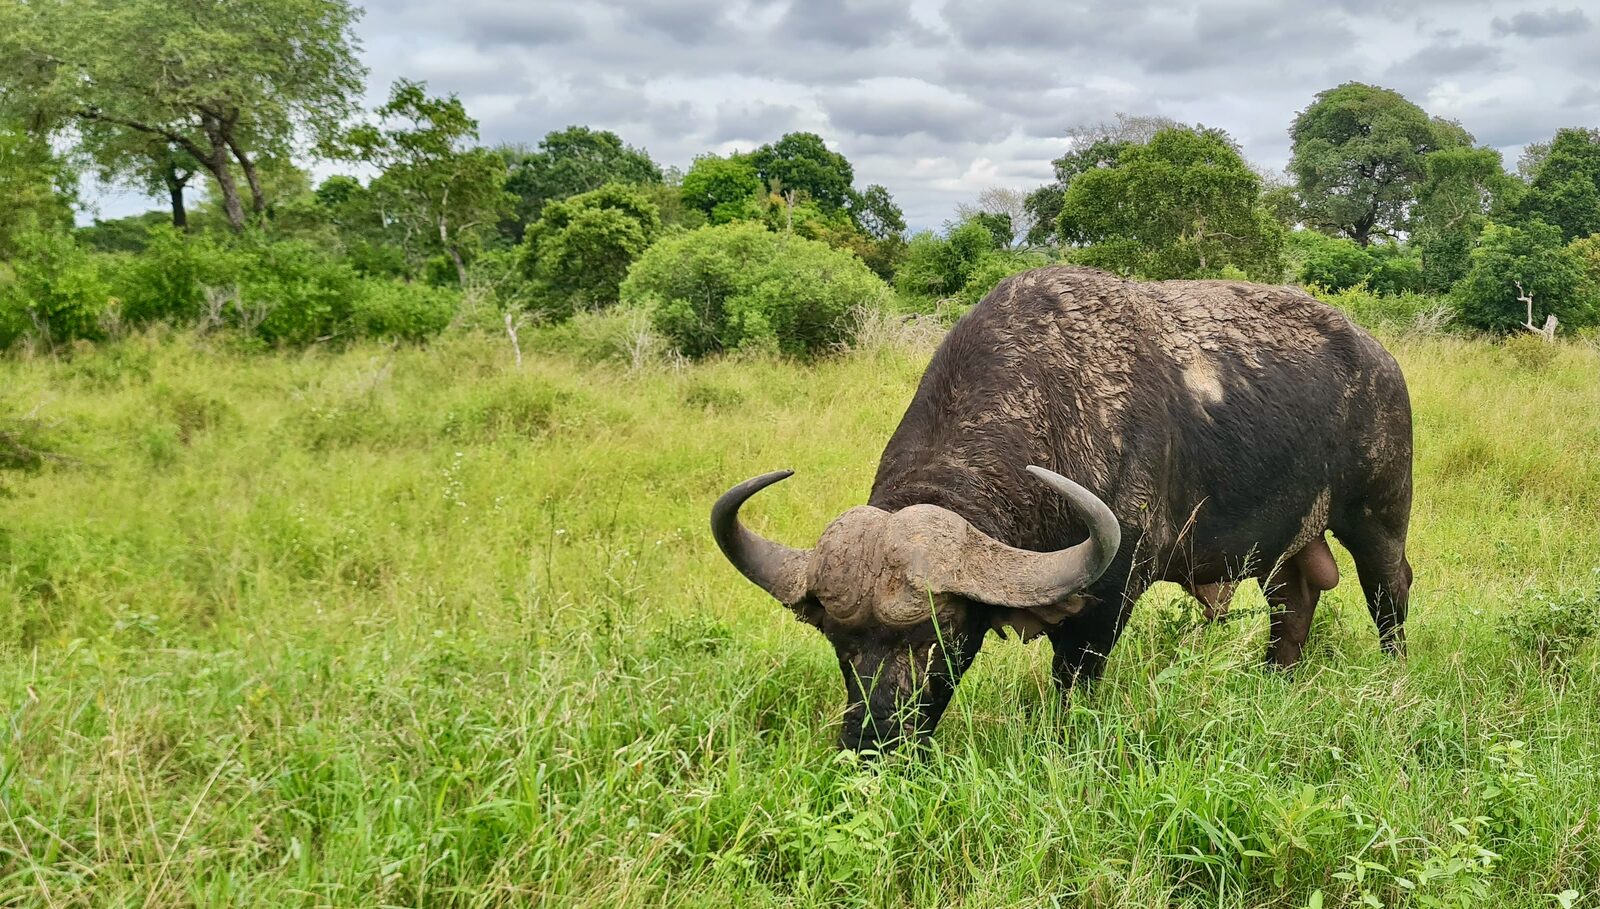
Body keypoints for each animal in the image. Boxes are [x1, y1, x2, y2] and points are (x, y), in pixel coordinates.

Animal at [712, 266, 1414, 753]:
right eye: (837, 640)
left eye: (942, 634)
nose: (873, 743)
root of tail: (1380, 359)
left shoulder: (1108, 598)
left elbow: (1074, 680)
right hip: (1282, 546)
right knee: (1293, 601)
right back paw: (1273, 679)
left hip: (1379, 517)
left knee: (1389, 593)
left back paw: (1394, 675)